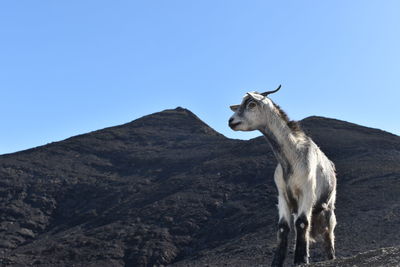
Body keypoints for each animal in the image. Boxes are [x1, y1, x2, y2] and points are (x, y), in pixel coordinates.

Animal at [228, 87, 338, 266]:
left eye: (251, 104)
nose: (231, 121)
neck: (291, 158)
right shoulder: (282, 195)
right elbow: (283, 227)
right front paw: (277, 261)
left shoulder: (307, 192)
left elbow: (302, 223)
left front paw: (301, 259)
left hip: (328, 205)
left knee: (328, 232)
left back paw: (331, 257)